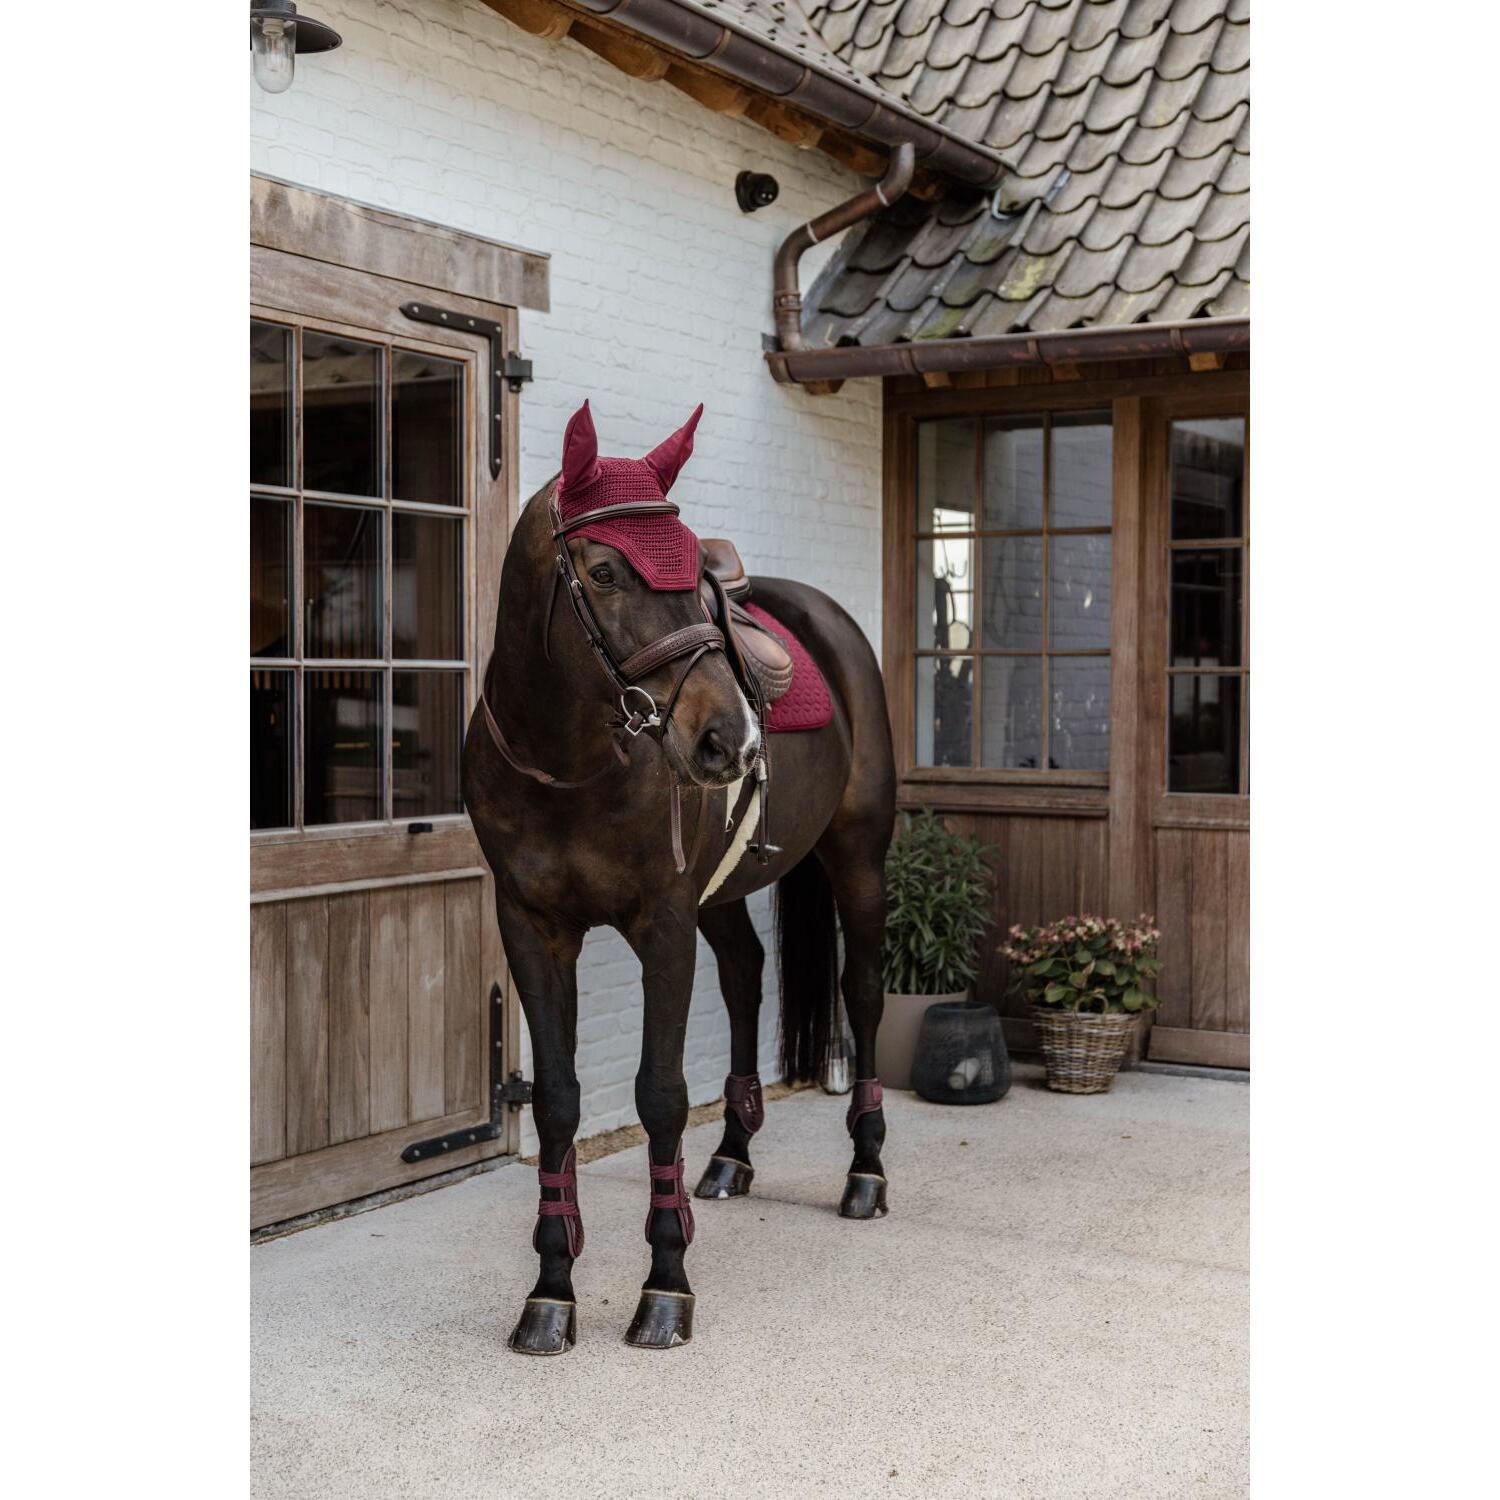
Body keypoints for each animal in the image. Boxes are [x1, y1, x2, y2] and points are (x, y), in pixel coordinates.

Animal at [461, 400, 896, 1353]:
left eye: (693, 572)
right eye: (604, 569)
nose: (729, 739)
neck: (567, 762)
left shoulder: (661, 922)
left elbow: (659, 1096)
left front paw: (665, 1286)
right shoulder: (532, 928)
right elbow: (557, 1100)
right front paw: (551, 1292)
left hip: (859, 858)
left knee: (864, 991)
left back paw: (867, 1172)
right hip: (720, 897)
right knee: (746, 976)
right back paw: (731, 1156)